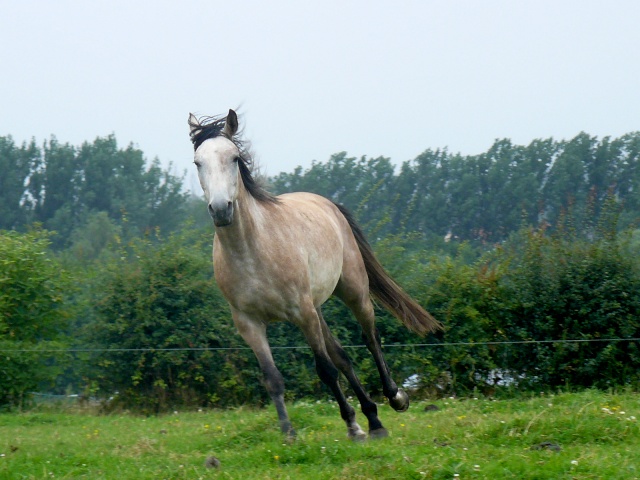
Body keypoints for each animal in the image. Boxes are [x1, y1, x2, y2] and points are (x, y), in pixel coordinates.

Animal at [188, 109, 442, 438]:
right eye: (198, 162)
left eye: (233, 158)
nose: (221, 209)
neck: (252, 252)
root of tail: (327, 203)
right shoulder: (249, 324)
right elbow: (273, 378)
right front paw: (289, 434)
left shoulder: (303, 313)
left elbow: (325, 370)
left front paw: (353, 428)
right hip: (318, 307)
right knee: (343, 356)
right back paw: (372, 418)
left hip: (353, 292)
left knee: (370, 339)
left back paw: (394, 400)